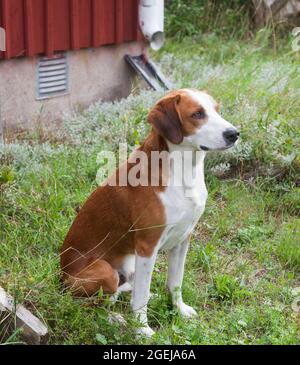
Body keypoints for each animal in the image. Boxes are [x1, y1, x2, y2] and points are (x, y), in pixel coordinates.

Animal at [60, 88, 239, 336]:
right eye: (197, 114)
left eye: (217, 110)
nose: (234, 134)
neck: (184, 171)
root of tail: (61, 275)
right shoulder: (147, 246)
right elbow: (141, 297)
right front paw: (142, 329)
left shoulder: (183, 239)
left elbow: (175, 282)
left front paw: (179, 310)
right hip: (106, 271)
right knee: (88, 306)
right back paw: (115, 319)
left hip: (130, 263)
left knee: (124, 290)